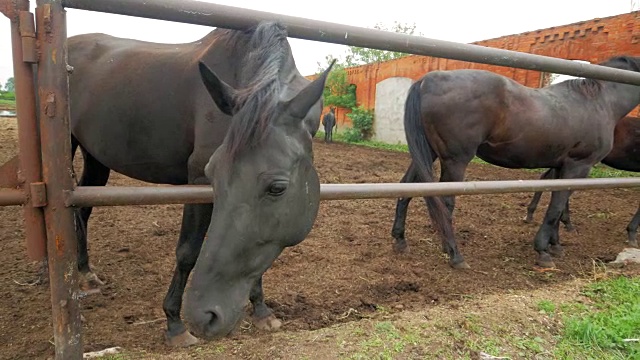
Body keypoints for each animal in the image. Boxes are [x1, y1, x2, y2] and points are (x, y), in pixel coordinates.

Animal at [67, 21, 332, 346]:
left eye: (277, 188)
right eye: (213, 173)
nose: (206, 315)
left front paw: (260, 310)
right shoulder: (198, 179)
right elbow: (187, 252)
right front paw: (175, 324)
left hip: (95, 158)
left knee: (81, 212)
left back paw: (84, 271)